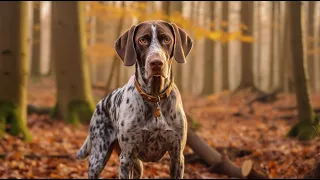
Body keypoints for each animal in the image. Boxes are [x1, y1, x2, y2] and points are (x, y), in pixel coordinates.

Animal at [76, 20, 194, 179]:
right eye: (142, 40)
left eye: (166, 39)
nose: (156, 63)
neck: (155, 97)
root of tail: (99, 104)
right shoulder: (126, 157)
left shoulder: (177, 156)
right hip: (98, 157)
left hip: (137, 165)